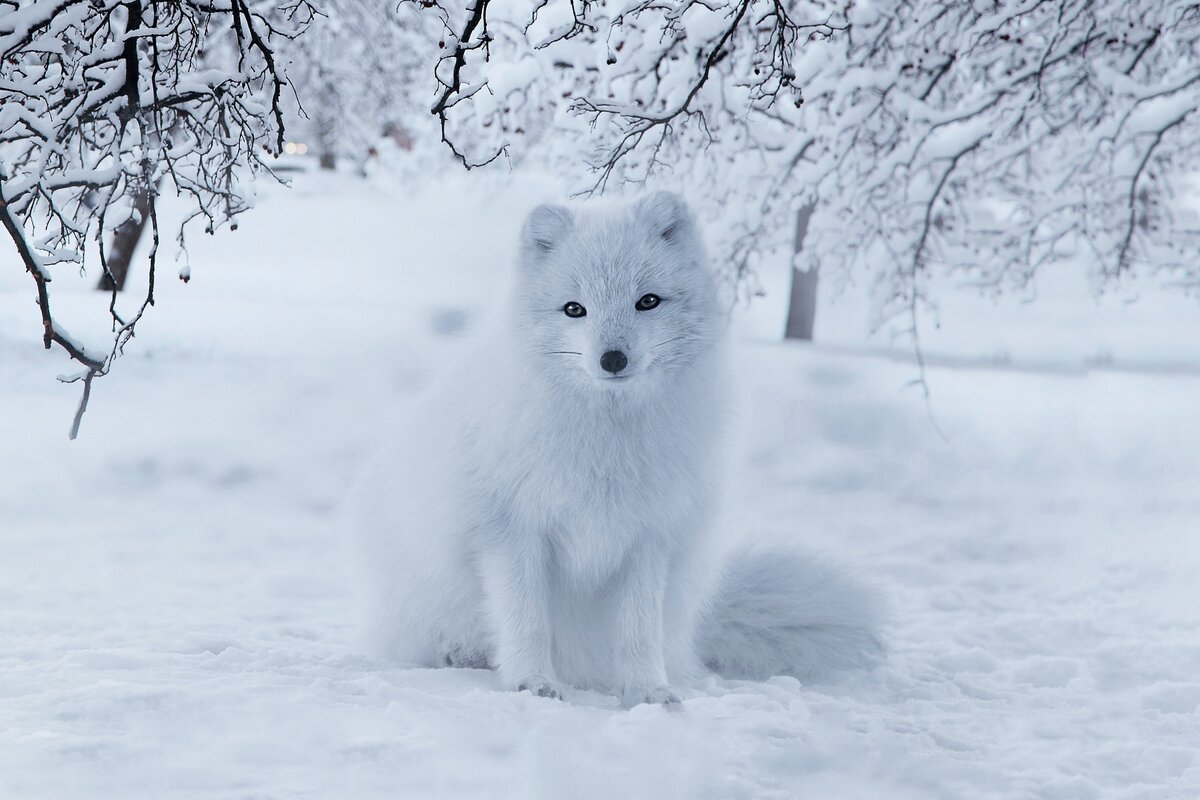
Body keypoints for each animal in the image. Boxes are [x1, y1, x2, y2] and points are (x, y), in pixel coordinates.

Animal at [352, 194, 883, 705]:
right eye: (574, 309)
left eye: (647, 301)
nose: (613, 359)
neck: (608, 441)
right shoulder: (510, 530)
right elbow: (526, 619)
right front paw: (532, 683)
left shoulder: (649, 537)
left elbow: (638, 630)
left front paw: (647, 691)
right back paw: (461, 653)